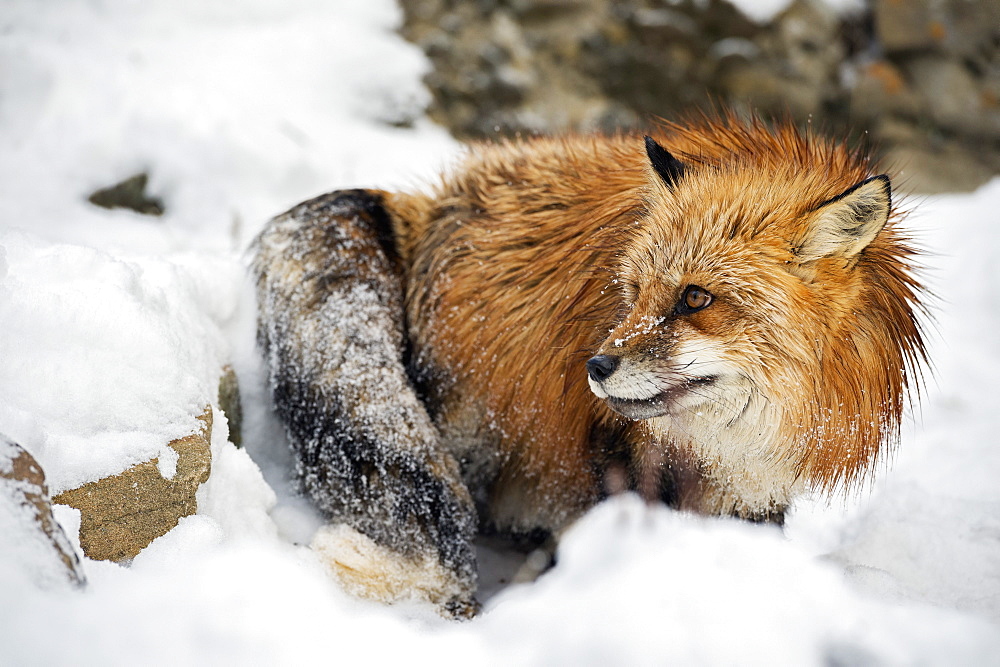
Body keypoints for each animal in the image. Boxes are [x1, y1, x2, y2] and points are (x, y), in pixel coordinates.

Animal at [252, 113, 928, 616]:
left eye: (696, 298)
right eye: (633, 293)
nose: (597, 366)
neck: (729, 443)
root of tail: (431, 200)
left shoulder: (757, 491)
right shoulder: (607, 452)